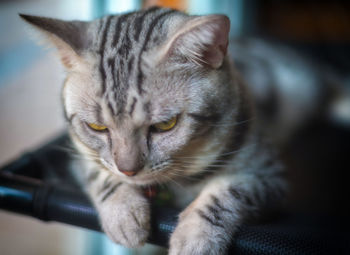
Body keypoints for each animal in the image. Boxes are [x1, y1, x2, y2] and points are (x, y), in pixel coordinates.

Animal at [22, 6, 290, 254]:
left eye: (164, 125)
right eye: (97, 127)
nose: (129, 171)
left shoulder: (268, 173)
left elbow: (227, 192)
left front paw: (195, 237)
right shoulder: (81, 158)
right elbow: (101, 175)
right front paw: (124, 213)